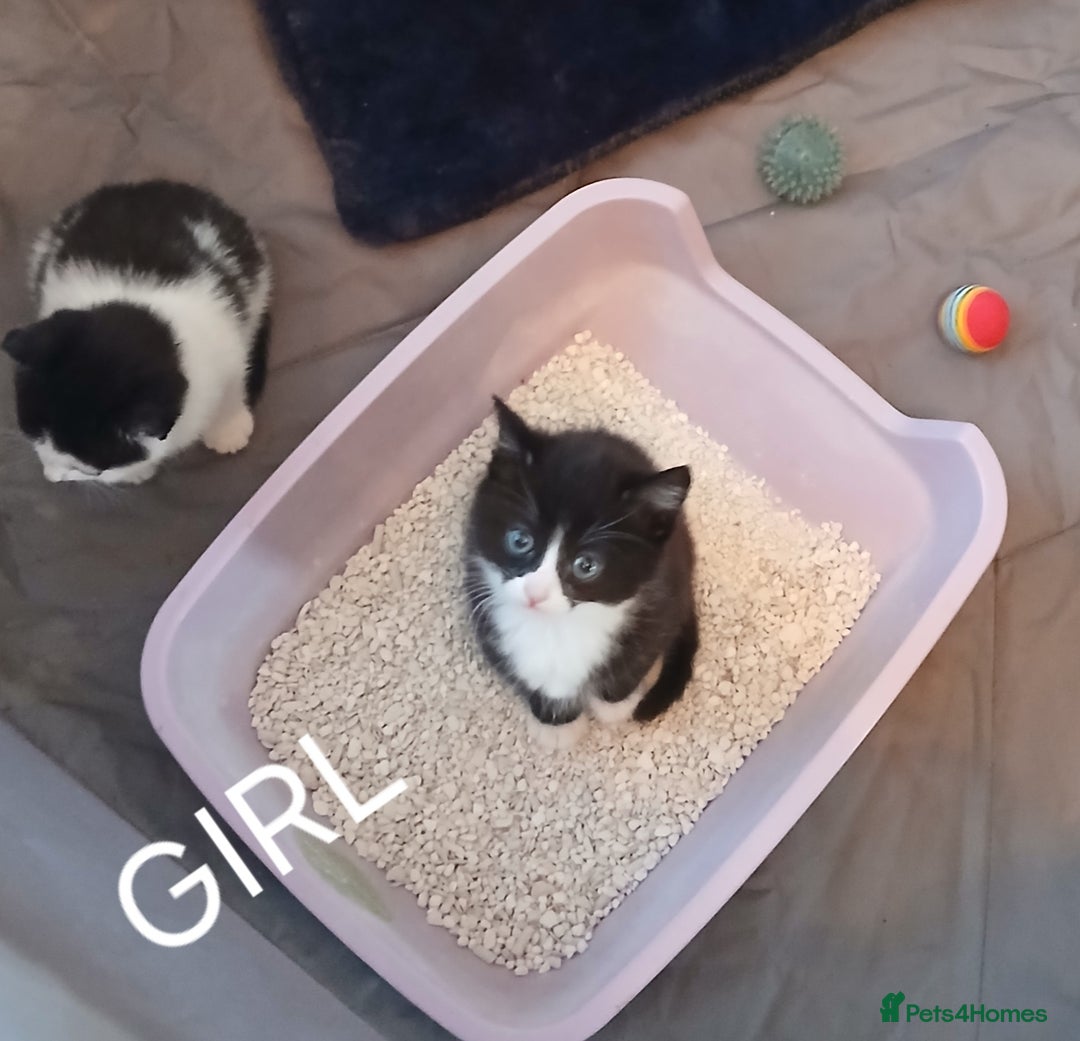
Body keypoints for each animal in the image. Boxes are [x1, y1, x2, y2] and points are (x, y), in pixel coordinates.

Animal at [2, 179, 272, 485]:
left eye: (83, 469)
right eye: (36, 443)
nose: (53, 476)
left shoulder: (227, 353)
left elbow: (232, 387)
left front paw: (228, 428)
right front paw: (136, 471)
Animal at [464, 397, 698, 749]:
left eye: (586, 565)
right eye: (520, 540)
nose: (535, 594)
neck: (560, 627)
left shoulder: (660, 601)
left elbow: (637, 657)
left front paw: (615, 707)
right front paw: (557, 724)